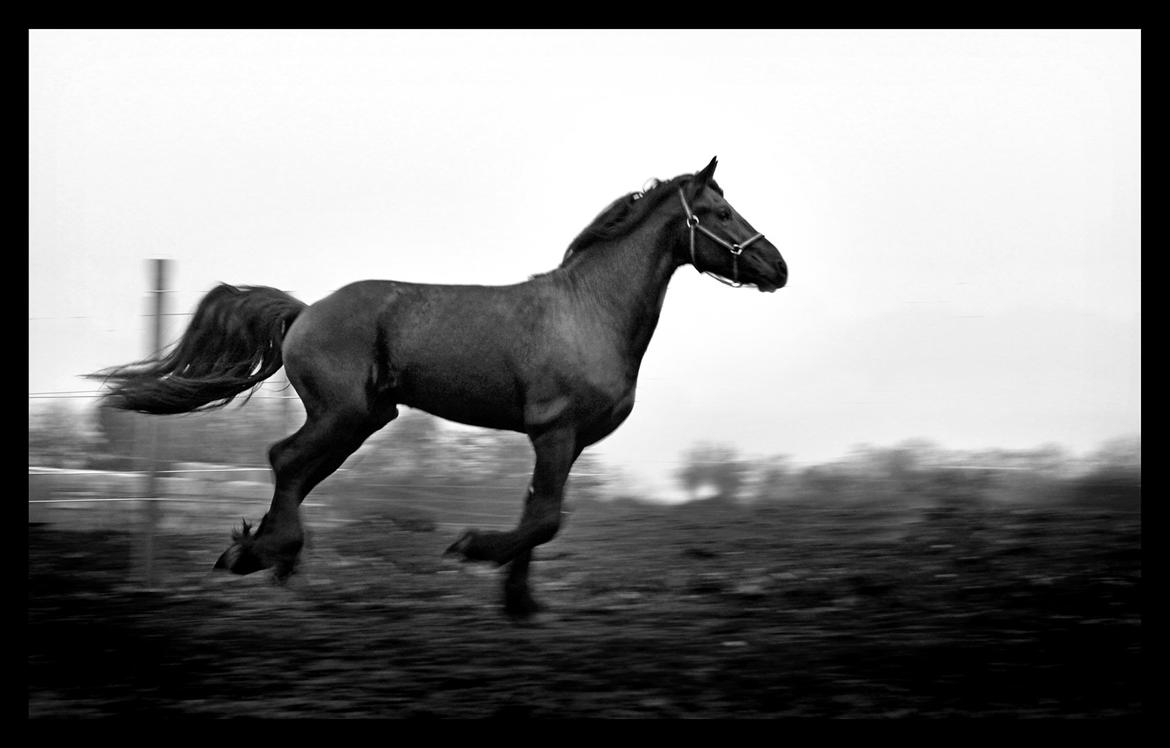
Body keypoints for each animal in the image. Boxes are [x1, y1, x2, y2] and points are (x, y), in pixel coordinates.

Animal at [93, 156, 786, 613]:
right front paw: (474, 550)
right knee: (286, 459)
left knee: (300, 470)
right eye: (720, 212)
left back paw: (262, 557)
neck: (590, 311)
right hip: (343, 414)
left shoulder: (568, 441)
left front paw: (519, 601)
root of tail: (306, 310)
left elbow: (541, 512)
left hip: (364, 420)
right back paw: (265, 557)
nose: (777, 266)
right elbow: (544, 519)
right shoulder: (555, 431)